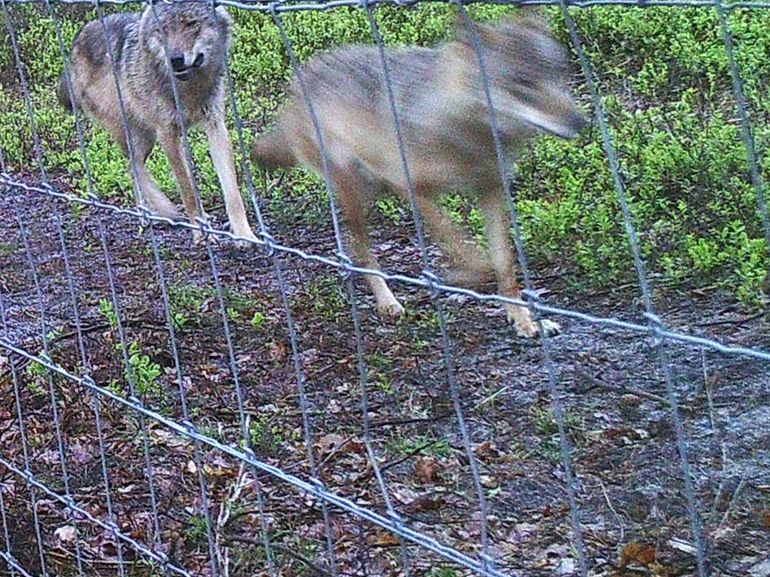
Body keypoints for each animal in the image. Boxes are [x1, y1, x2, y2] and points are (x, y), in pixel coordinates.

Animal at [57, 1, 255, 243]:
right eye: (163, 29)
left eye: (192, 24)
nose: (175, 59)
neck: (189, 90)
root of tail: (75, 42)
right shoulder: (167, 134)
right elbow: (188, 190)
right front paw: (200, 232)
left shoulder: (216, 126)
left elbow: (232, 191)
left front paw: (245, 235)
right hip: (134, 134)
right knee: (134, 167)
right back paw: (161, 209)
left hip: (147, 139)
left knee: (132, 168)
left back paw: (149, 213)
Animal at [250, 14, 584, 338]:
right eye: (523, 83)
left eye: (558, 73)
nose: (579, 121)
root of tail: (298, 84)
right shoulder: (408, 186)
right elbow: (464, 246)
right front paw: (462, 274)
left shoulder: (491, 188)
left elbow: (504, 263)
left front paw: (525, 320)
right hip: (357, 194)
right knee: (362, 252)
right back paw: (388, 303)